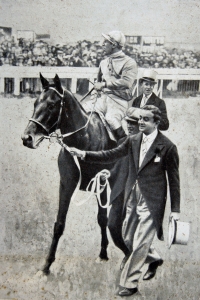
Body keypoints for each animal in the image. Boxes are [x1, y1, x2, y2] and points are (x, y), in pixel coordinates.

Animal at [21, 74, 128, 276]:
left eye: (51, 105)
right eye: (35, 102)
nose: (27, 138)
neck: (84, 139)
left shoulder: (101, 182)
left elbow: (102, 218)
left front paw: (103, 254)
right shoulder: (66, 183)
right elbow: (59, 224)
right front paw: (46, 266)